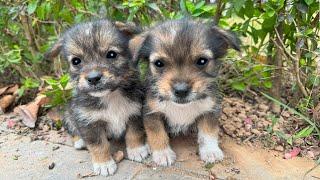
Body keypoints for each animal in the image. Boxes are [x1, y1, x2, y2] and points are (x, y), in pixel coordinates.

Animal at [45, 20, 149, 176]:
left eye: (111, 54)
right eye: (76, 61)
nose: (93, 78)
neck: (110, 96)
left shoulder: (134, 113)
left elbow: (134, 133)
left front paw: (137, 150)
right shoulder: (89, 123)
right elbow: (98, 145)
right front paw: (103, 163)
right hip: (68, 114)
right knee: (72, 130)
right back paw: (79, 141)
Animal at [129, 19, 238, 167]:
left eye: (202, 61)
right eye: (159, 63)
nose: (181, 91)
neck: (181, 107)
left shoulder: (209, 110)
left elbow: (208, 133)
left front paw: (211, 151)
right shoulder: (151, 113)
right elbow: (157, 134)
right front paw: (162, 153)